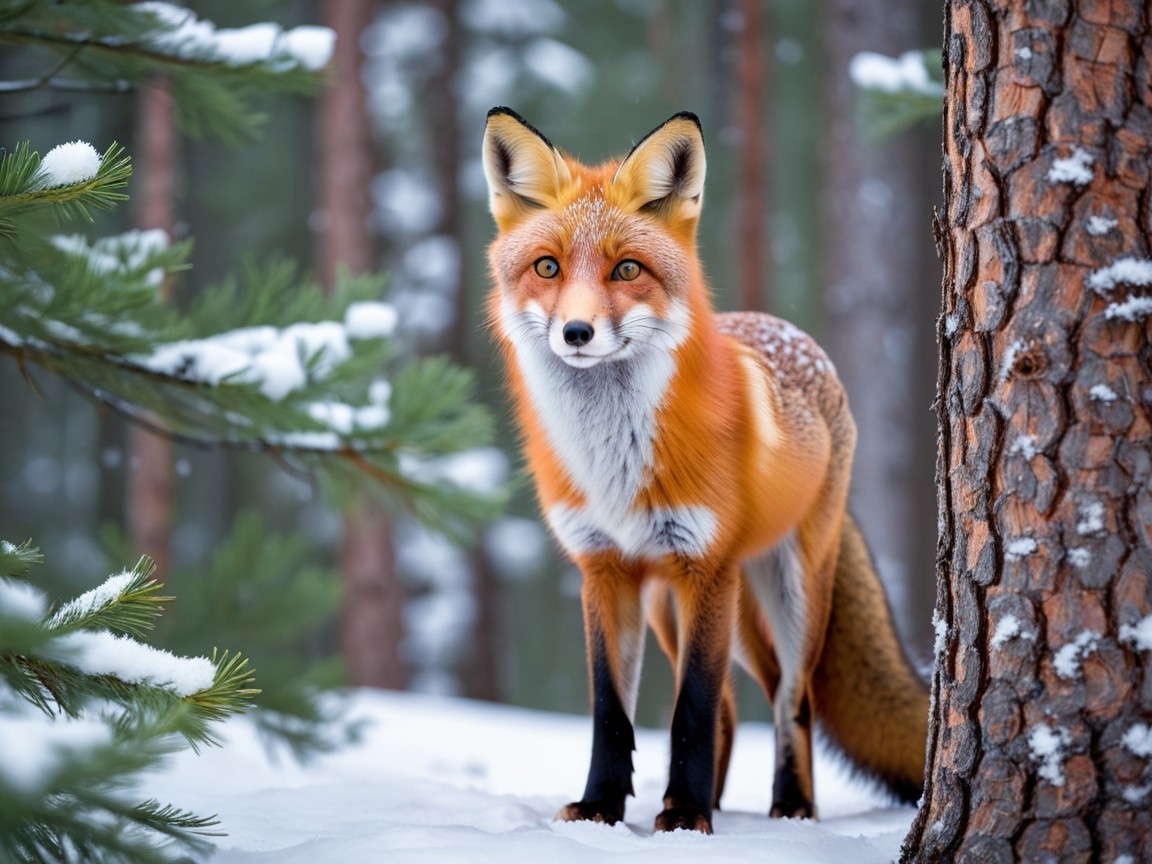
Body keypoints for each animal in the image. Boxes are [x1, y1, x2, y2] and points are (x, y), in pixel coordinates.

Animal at [482, 107, 929, 834]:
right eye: (547, 267)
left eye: (626, 269)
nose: (576, 333)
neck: (615, 464)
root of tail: (793, 335)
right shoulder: (604, 570)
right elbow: (612, 711)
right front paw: (603, 809)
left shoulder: (706, 565)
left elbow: (689, 706)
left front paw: (687, 817)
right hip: (679, 608)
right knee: (733, 706)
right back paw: (714, 799)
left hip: (783, 593)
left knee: (789, 697)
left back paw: (789, 807)